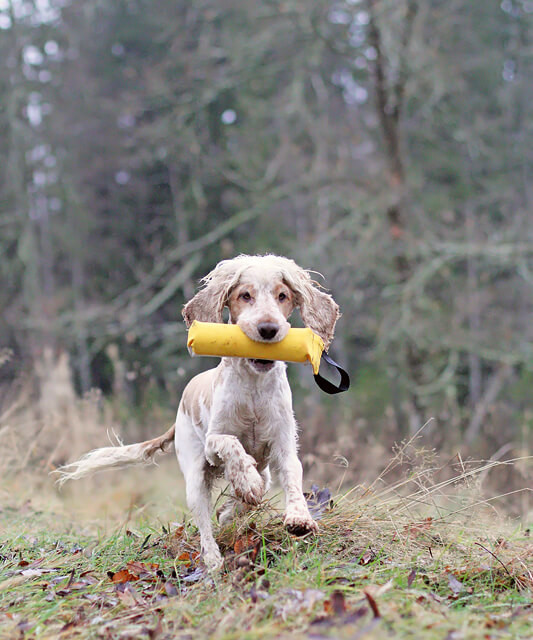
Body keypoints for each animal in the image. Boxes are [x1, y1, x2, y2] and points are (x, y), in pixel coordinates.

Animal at [59, 255, 340, 568]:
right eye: (245, 295)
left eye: (283, 296)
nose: (268, 328)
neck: (253, 389)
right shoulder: (213, 443)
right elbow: (232, 445)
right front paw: (247, 481)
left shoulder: (283, 444)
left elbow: (291, 477)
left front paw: (299, 518)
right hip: (194, 476)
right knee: (205, 522)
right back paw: (214, 560)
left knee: (258, 487)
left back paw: (232, 510)